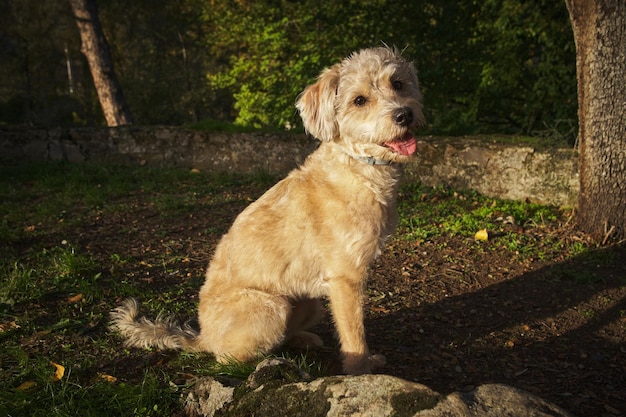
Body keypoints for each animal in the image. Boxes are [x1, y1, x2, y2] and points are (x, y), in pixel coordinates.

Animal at [112, 46, 424, 374]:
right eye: (359, 100)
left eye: (398, 83)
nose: (404, 114)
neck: (358, 167)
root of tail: (202, 337)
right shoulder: (345, 280)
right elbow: (354, 337)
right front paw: (360, 372)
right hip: (272, 306)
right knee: (229, 357)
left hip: (308, 300)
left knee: (284, 335)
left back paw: (303, 340)